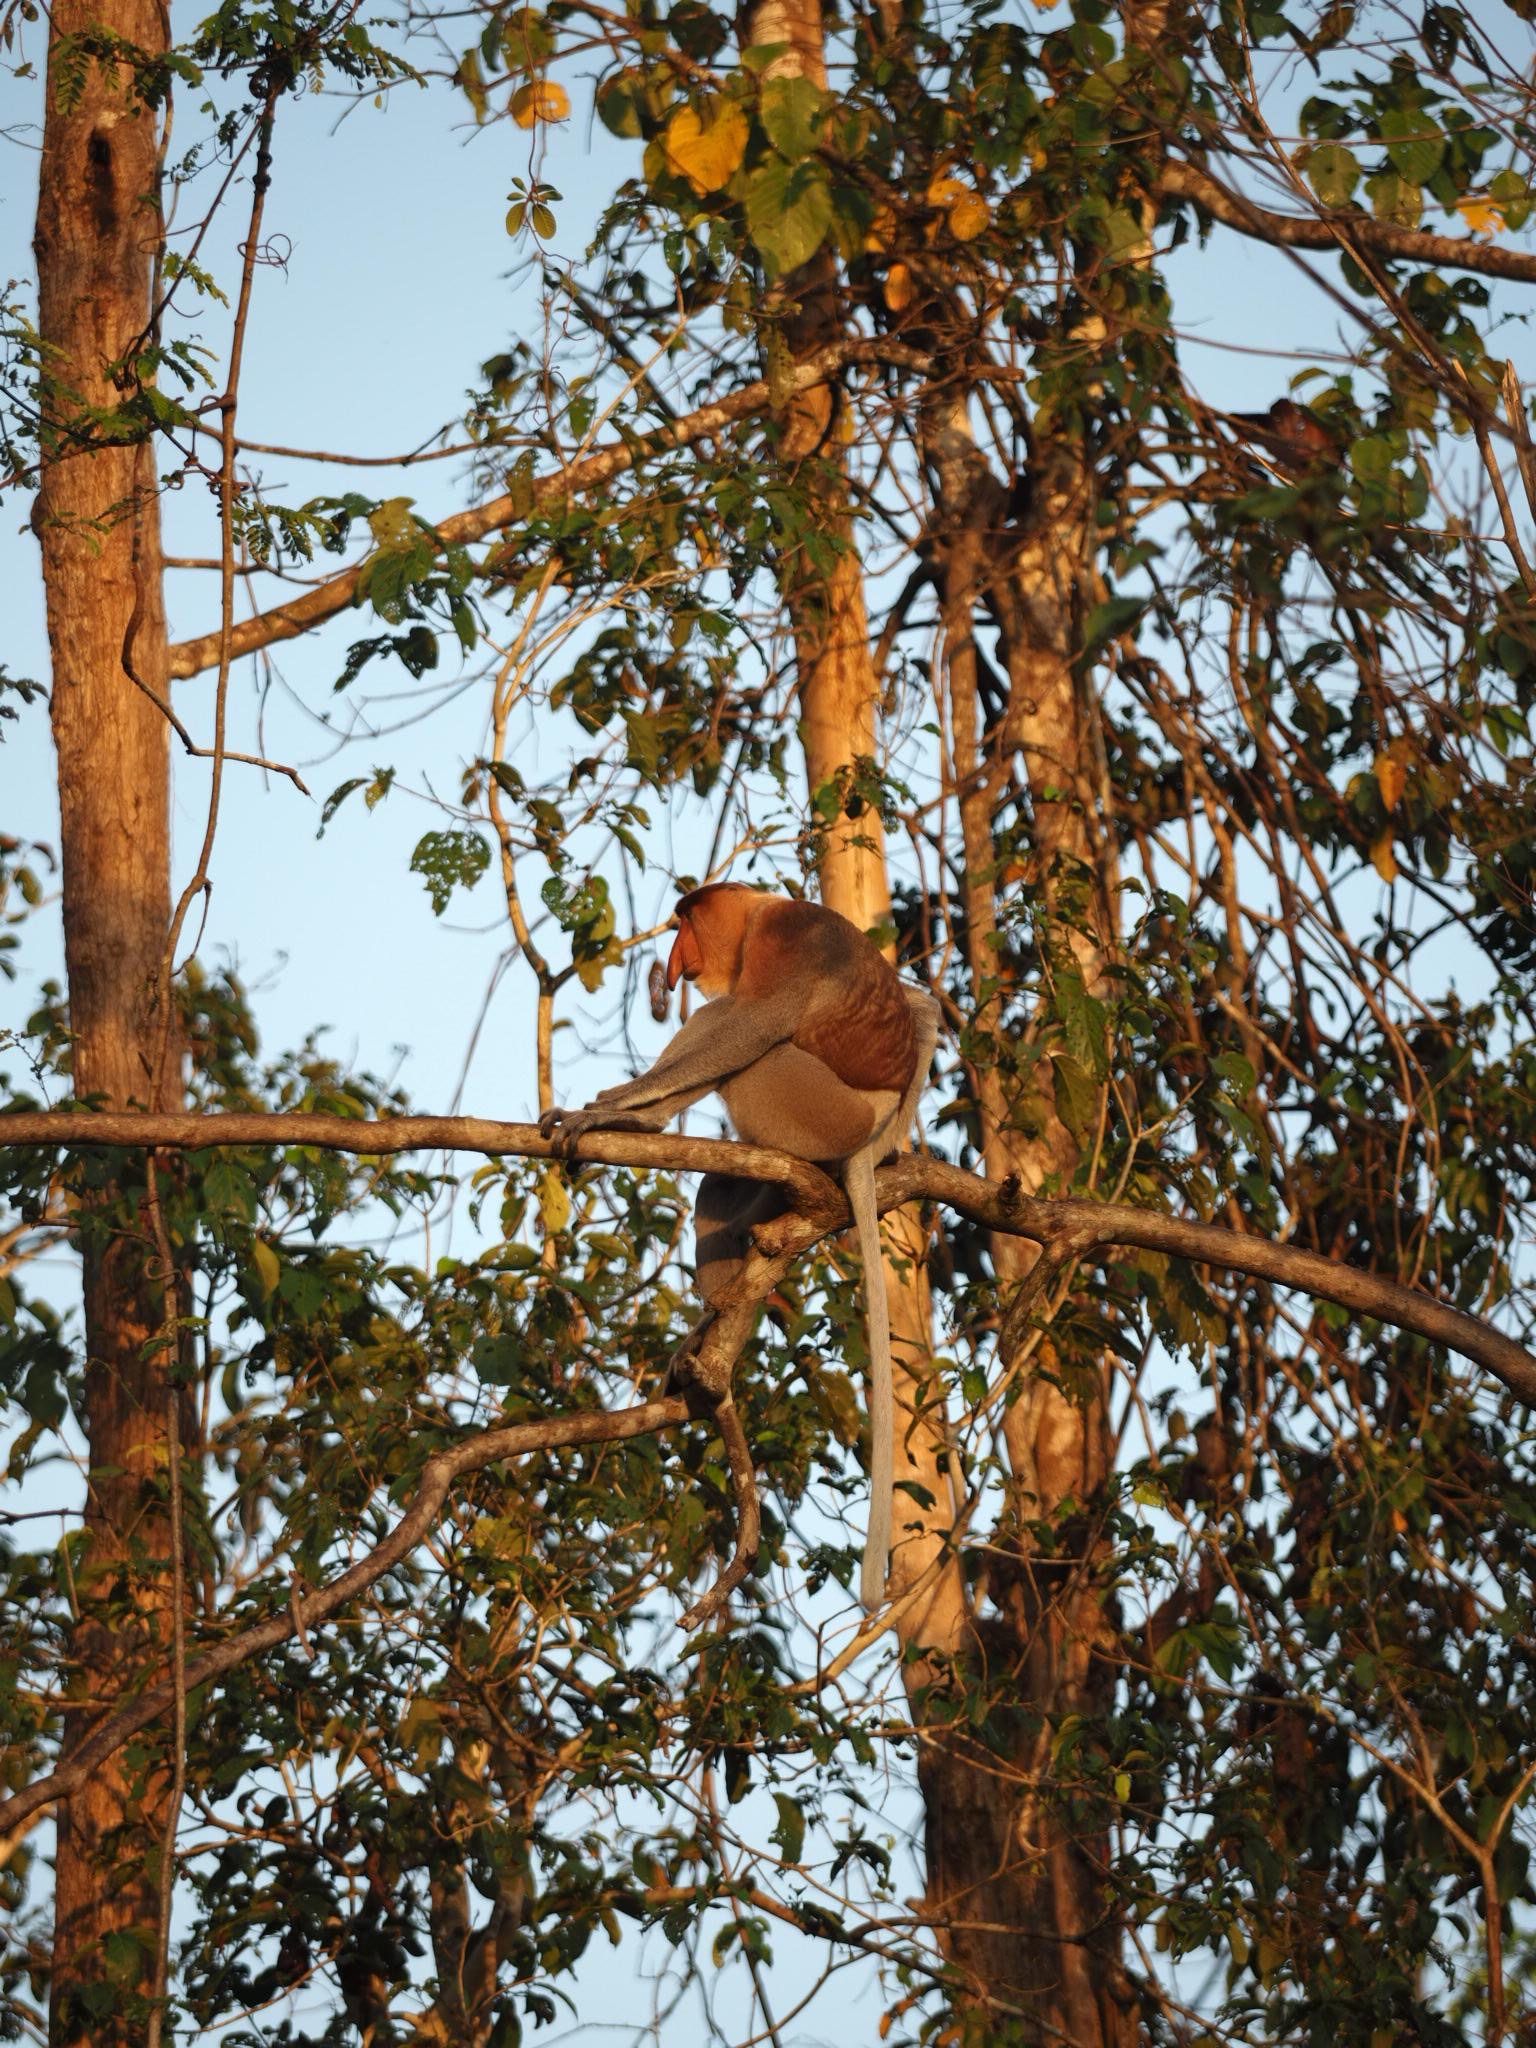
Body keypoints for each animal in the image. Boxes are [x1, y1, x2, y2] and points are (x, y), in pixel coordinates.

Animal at [539, 883, 940, 1610]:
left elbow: (750, 1026)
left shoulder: (795, 940)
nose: (675, 961)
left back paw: (643, 1121)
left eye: (685, 923)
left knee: (750, 1042)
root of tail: (869, 1135)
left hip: (819, 1113)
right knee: (719, 1188)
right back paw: (713, 1317)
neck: (759, 911)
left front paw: (610, 1106)